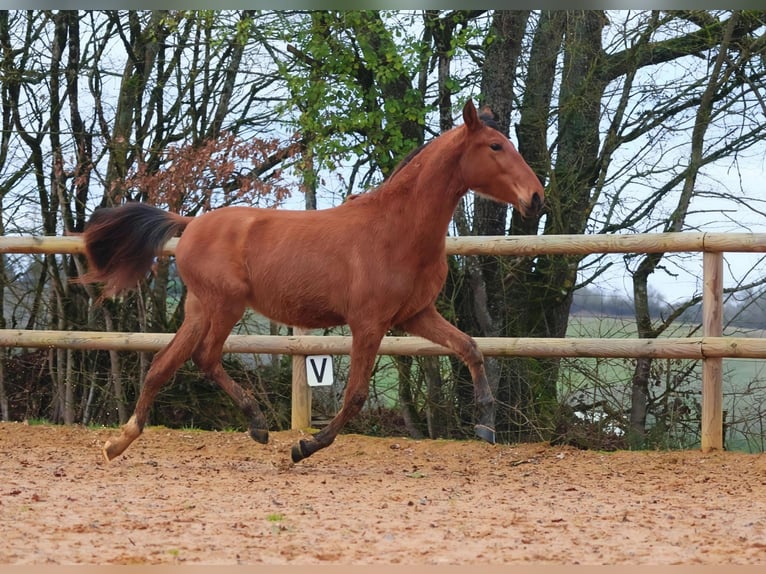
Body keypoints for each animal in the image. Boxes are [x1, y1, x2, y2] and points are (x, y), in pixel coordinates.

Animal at [79, 99, 544, 464]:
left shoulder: (415, 315)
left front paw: (485, 422)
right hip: (224, 305)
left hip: (198, 308)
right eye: (496, 146)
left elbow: (470, 348)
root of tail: (190, 223)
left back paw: (118, 443)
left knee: (163, 365)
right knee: (205, 358)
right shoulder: (369, 324)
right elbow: (355, 395)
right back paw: (258, 425)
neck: (397, 230)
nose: (536, 197)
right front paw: (304, 447)